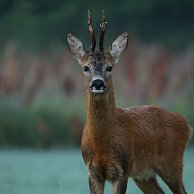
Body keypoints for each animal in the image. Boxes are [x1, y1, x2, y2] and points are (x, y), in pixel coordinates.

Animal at [66, 10, 192, 194]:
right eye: (86, 67)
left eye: (109, 67)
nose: (98, 83)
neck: (102, 145)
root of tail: (187, 124)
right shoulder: (92, 172)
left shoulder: (123, 169)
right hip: (144, 174)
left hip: (172, 163)